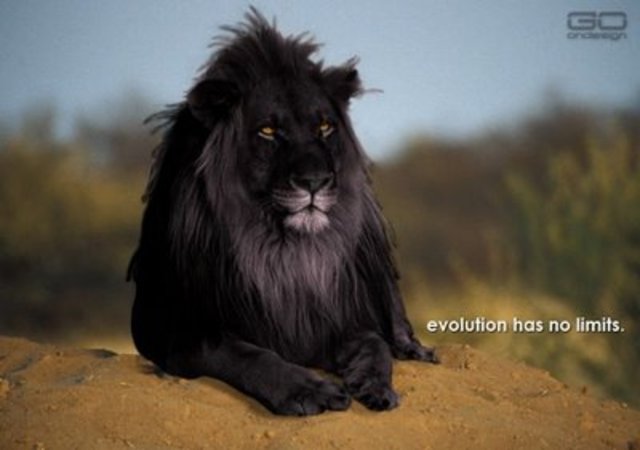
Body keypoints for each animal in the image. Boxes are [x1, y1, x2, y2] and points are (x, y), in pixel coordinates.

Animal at [128, 9, 437, 416]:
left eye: (324, 126)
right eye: (268, 131)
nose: (315, 182)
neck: (285, 253)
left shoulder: (335, 316)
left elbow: (375, 344)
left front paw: (376, 386)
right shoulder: (169, 325)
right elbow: (241, 352)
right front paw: (309, 391)